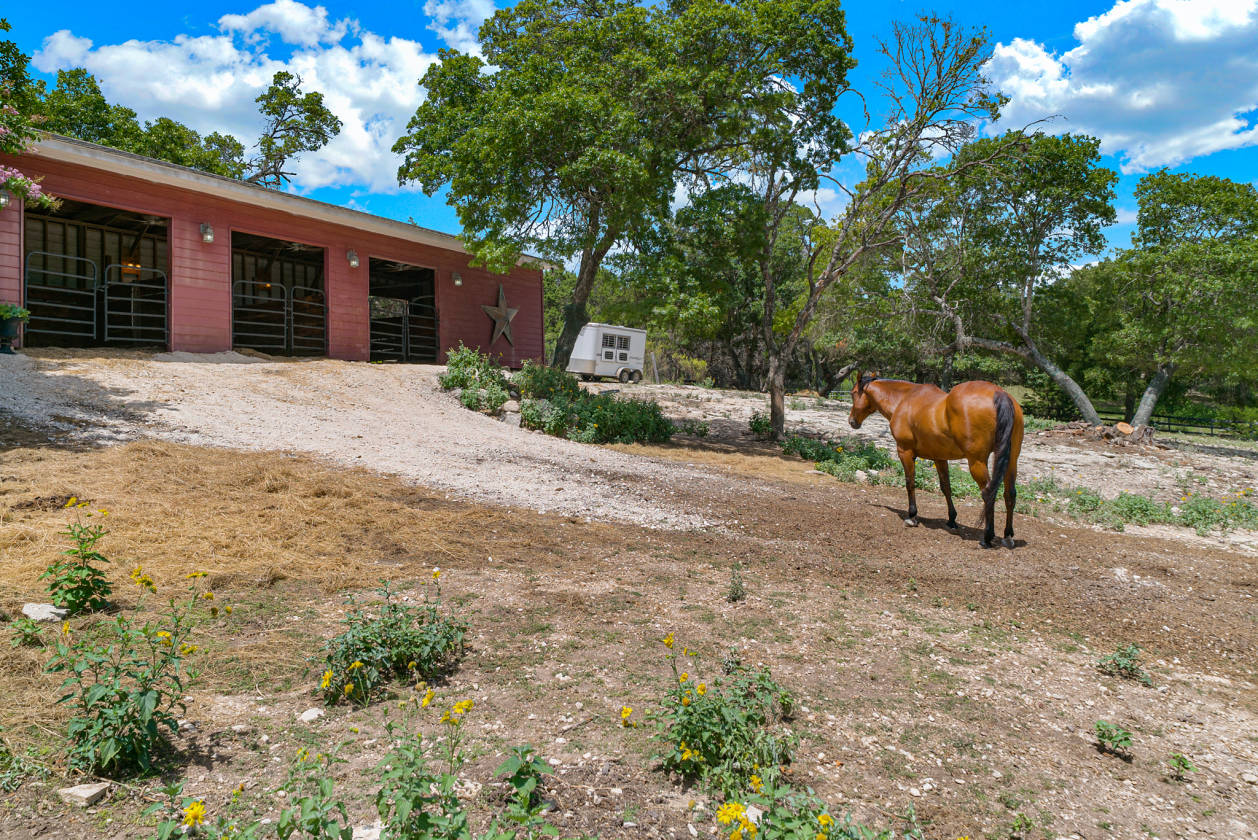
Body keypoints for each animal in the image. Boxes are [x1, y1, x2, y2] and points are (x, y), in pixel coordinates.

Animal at [848, 373, 1024, 548]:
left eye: (853, 393)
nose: (852, 421)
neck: (903, 399)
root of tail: (999, 394)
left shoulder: (905, 452)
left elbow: (910, 483)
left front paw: (912, 516)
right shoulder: (940, 458)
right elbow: (946, 487)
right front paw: (952, 519)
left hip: (976, 462)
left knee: (988, 493)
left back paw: (987, 537)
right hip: (1011, 460)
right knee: (1010, 494)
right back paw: (1008, 535)